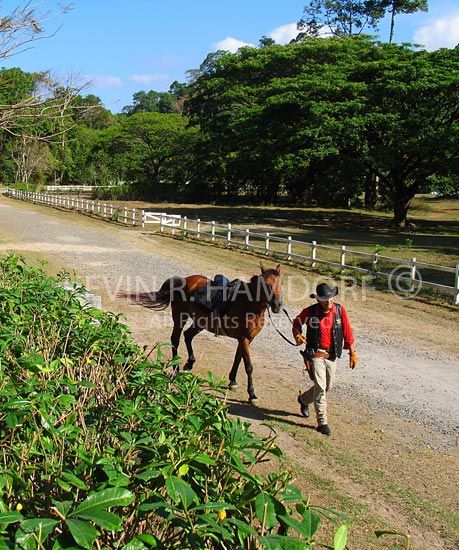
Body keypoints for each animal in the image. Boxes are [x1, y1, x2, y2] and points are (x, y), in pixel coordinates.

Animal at [120, 266, 282, 404]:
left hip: (200, 322)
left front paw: (233, 381)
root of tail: (183, 280)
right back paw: (176, 369)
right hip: (180, 316)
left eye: (281, 283)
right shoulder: (243, 339)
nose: (278, 305)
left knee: (188, 336)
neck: (248, 304)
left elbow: (238, 358)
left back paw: (189, 363)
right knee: (175, 339)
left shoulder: (247, 339)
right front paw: (252, 394)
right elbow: (248, 366)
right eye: (267, 284)